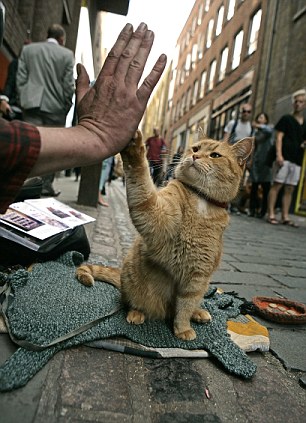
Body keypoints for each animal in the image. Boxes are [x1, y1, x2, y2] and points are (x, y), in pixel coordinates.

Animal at [77, 131, 253, 342]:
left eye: (215, 155)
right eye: (195, 148)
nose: (195, 156)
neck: (201, 201)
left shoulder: (197, 276)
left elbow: (185, 306)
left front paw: (182, 327)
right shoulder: (154, 216)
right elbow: (140, 178)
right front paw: (135, 149)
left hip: (203, 285)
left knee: (191, 305)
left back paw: (198, 313)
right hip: (133, 282)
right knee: (131, 302)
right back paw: (136, 313)